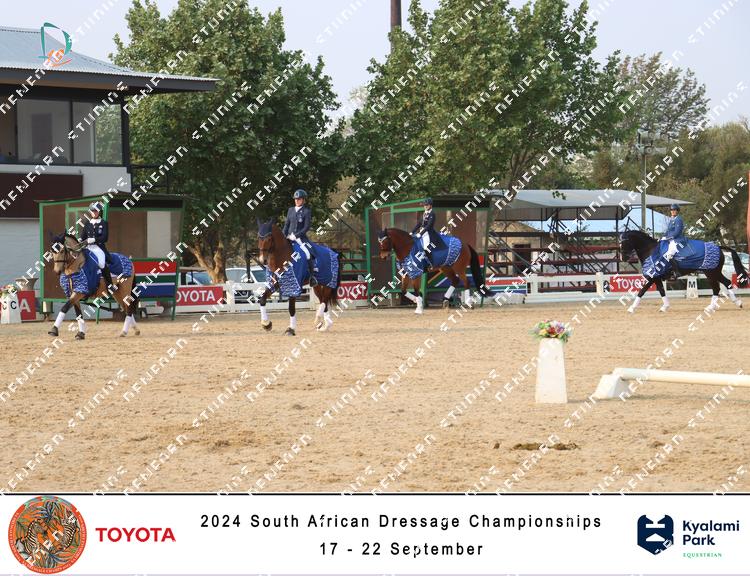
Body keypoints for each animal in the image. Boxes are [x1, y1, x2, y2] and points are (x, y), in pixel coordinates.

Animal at [619, 229, 748, 313]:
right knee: (724, 284)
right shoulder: (655, 278)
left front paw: (632, 308)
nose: (623, 258)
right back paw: (730, 304)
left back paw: (719, 306)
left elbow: (642, 291)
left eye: (624, 242)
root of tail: (718, 247)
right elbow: (660, 291)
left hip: (711, 273)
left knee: (720, 286)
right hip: (714, 273)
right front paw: (664, 307)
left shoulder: (653, 277)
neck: (651, 251)